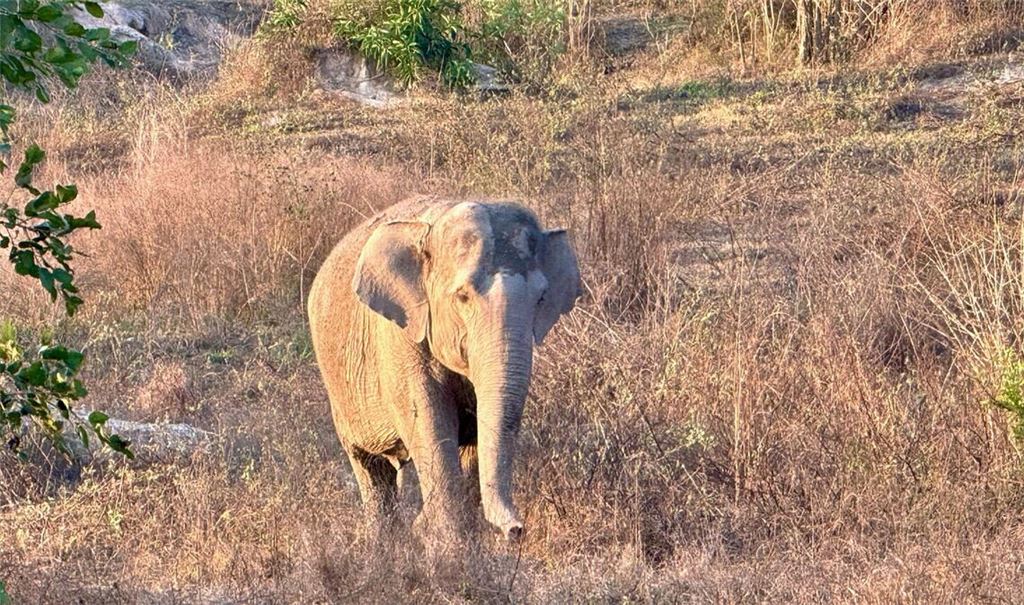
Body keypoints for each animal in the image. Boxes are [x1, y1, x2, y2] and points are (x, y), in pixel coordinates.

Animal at [307, 195, 581, 542]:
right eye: (462, 297)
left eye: (541, 298)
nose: (516, 530)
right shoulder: (400, 340)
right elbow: (430, 423)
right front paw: (446, 545)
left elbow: (476, 438)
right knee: (370, 469)